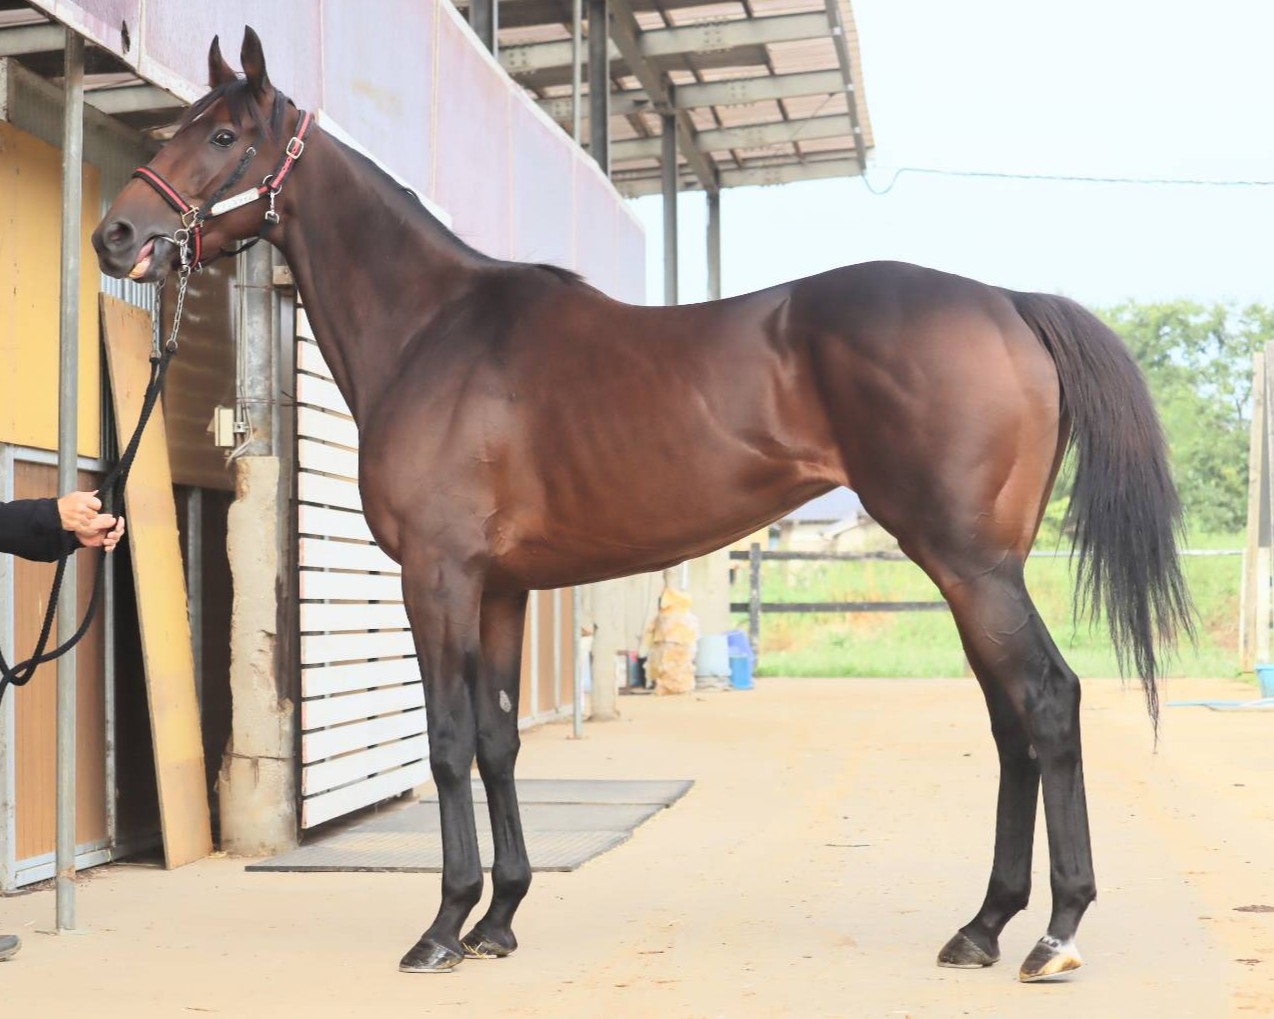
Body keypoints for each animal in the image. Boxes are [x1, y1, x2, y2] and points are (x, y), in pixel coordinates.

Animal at [92, 27, 1192, 982]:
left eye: (223, 135)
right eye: (179, 124)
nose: (116, 234)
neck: (435, 331)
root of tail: (1008, 302)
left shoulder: (438, 577)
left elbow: (446, 741)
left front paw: (443, 926)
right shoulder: (501, 587)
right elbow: (498, 740)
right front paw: (500, 917)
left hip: (968, 564)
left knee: (1047, 701)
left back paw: (1054, 933)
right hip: (975, 571)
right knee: (1010, 721)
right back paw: (982, 924)